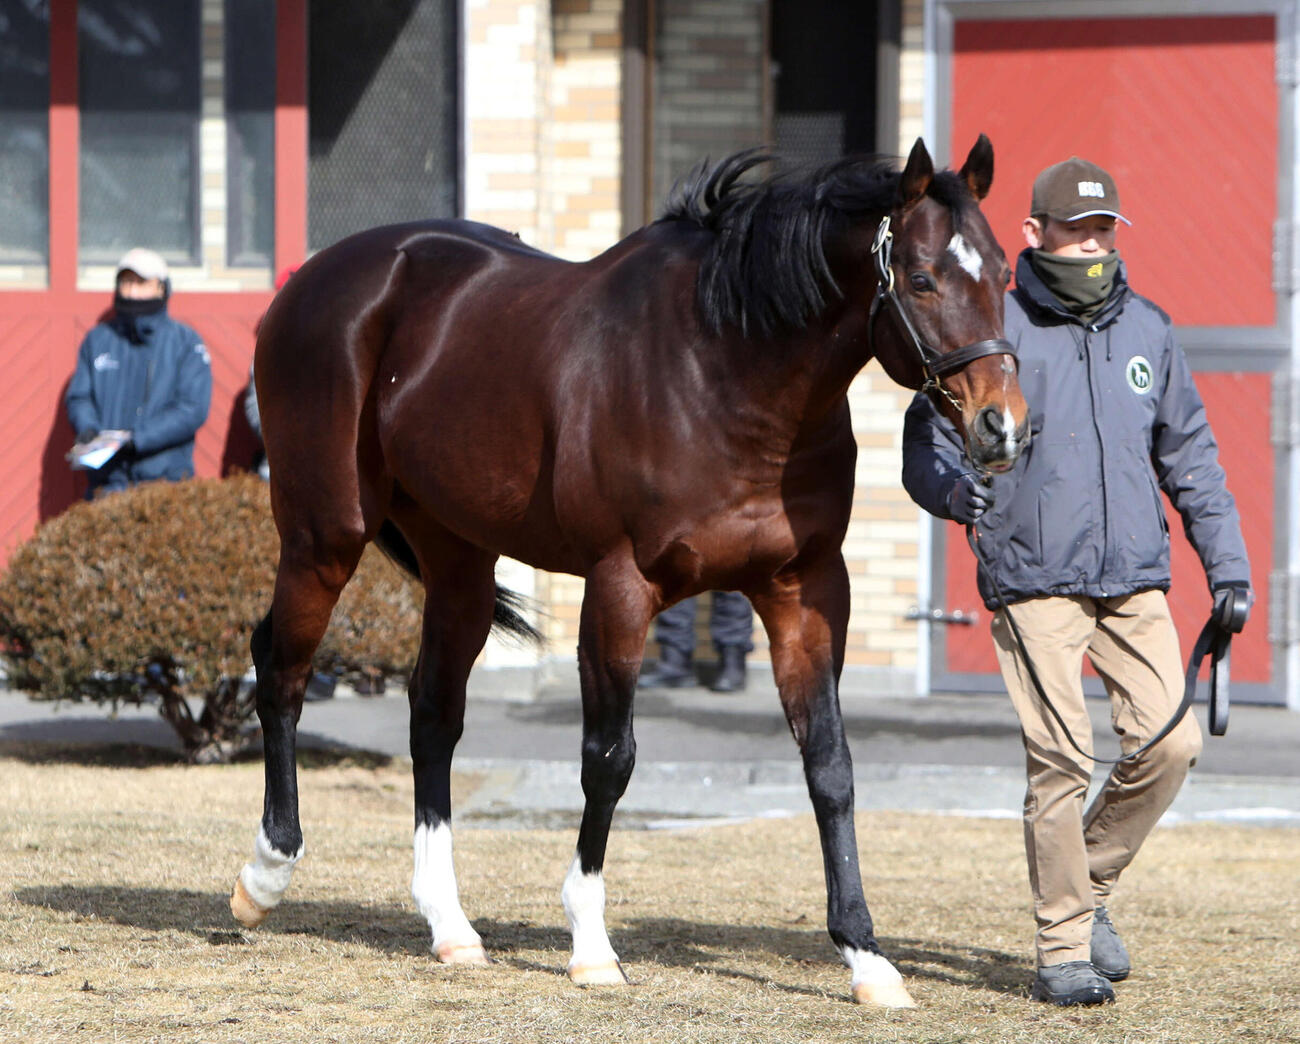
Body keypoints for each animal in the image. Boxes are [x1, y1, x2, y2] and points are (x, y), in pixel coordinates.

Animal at [230, 135, 1029, 1008]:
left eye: (1004, 274)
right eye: (921, 278)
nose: (1002, 427)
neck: (724, 371)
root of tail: (314, 280)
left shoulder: (806, 590)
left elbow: (831, 766)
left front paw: (867, 958)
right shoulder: (620, 587)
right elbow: (609, 759)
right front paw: (590, 944)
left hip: (459, 560)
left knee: (434, 714)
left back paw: (451, 927)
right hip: (324, 536)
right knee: (282, 673)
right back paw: (265, 874)